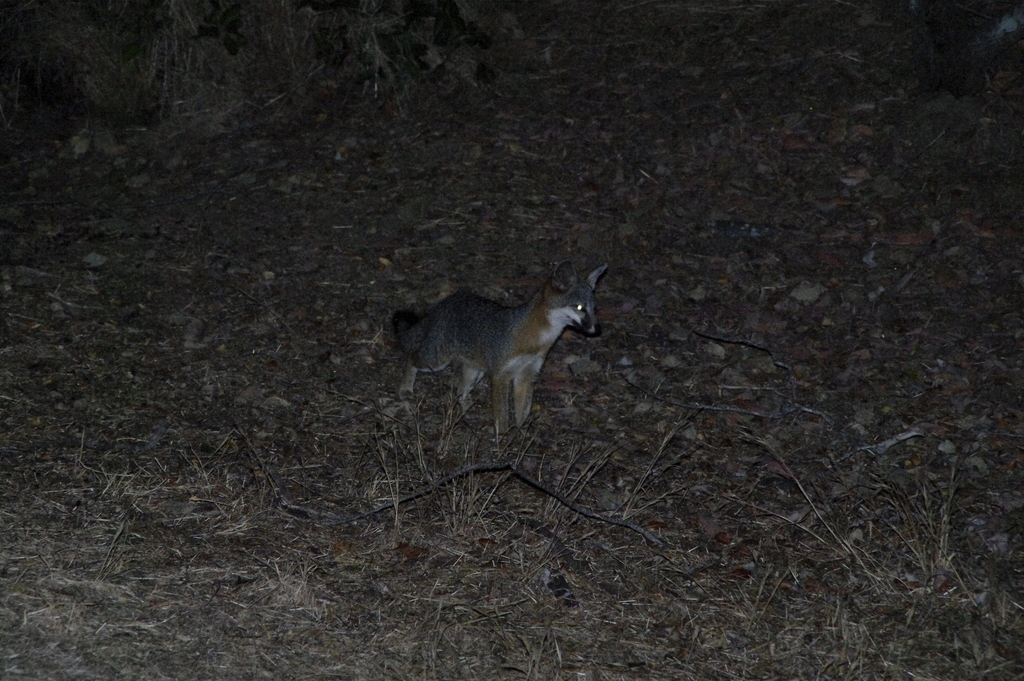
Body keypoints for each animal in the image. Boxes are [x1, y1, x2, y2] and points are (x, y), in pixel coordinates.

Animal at [393, 261, 608, 434]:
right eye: (579, 308)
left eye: (594, 309)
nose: (597, 330)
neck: (536, 340)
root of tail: (445, 303)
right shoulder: (500, 375)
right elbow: (502, 413)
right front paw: (502, 438)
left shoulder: (526, 375)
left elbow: (523, 410)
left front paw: (520, 434)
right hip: (437, 361)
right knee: (412, 357)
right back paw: (405, 389)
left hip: (476, 370)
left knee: (461, 391)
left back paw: (466, 410)